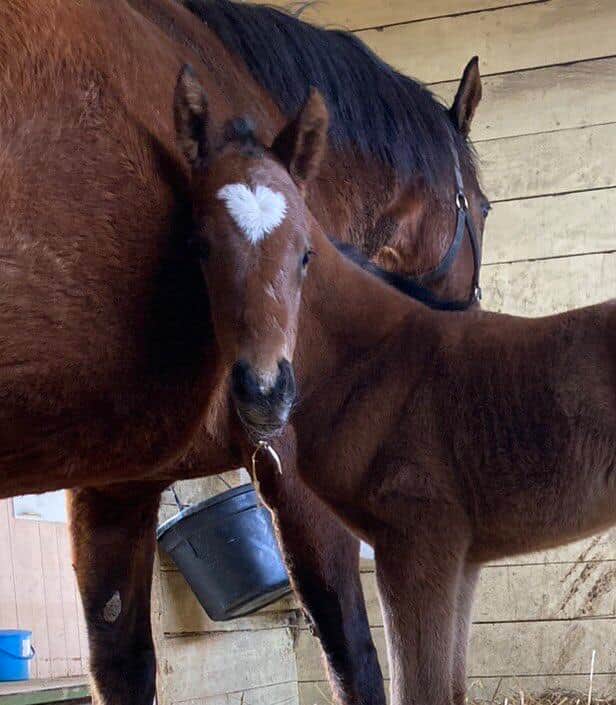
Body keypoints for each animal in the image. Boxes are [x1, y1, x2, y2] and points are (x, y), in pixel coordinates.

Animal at [0, 1, 487, 704]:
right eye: (485, 208)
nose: (263, 393)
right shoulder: (298, 476)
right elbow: (355, 657)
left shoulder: (112, 486)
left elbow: (121, 661)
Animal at [177, 79, 616, 705]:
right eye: (200, 246)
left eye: (305, 252)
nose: (263, 392)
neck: (375, 359)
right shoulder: (461, 560)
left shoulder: (416, 544)